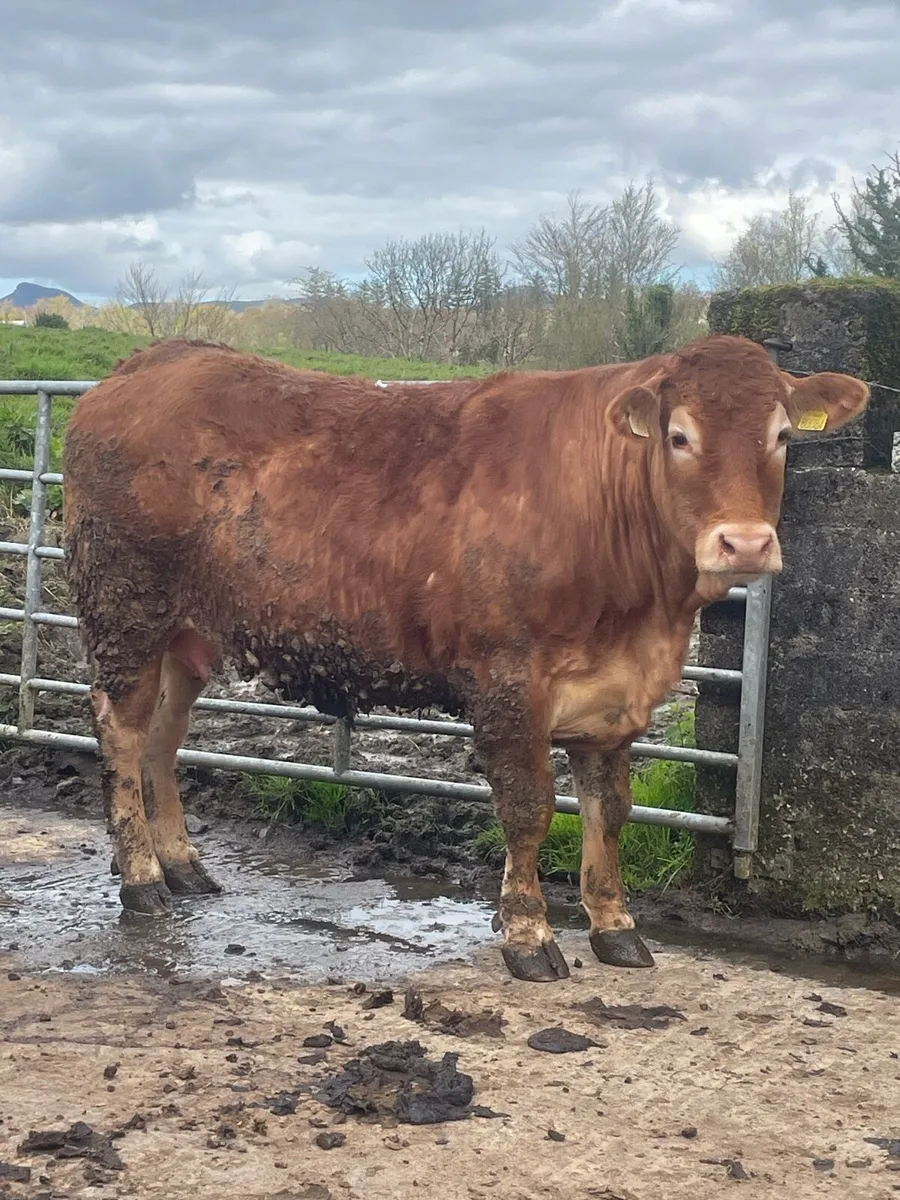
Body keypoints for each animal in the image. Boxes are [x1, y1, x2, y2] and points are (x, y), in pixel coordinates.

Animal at [62, 335, 869, 983]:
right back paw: (141, 879)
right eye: (678, 436)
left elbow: (610, 811)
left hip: (185, 637)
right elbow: (530, 809)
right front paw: (529, 935)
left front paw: (616, 928)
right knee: (120, 731)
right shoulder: (508, 682)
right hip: (125, 611)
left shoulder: (614, 700)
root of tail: (152, 360)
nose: (746, 543)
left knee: (162, 737)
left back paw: (183, 864)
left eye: (783, 435)